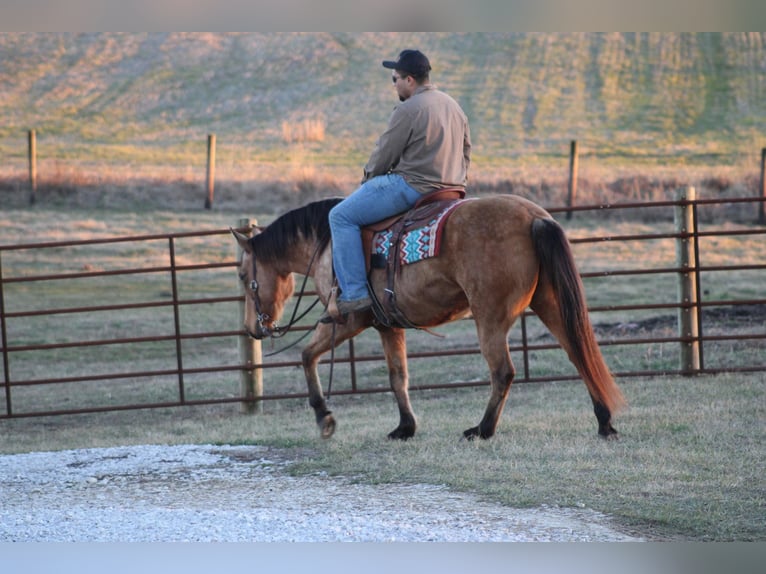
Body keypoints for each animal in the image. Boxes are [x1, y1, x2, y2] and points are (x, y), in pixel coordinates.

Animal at [231, 196, 628, 444]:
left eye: (242, 275)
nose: (254, 328)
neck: (327, 243)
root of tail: (534, 218)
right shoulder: (387, 325)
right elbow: (398, 377)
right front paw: (405, 428)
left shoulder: (347, 320)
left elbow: (307, 355)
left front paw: (324, 417)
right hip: (549, 303)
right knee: (578, 352)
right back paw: (604, 422)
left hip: (490, 318)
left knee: (503, 372)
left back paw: (482, 430)